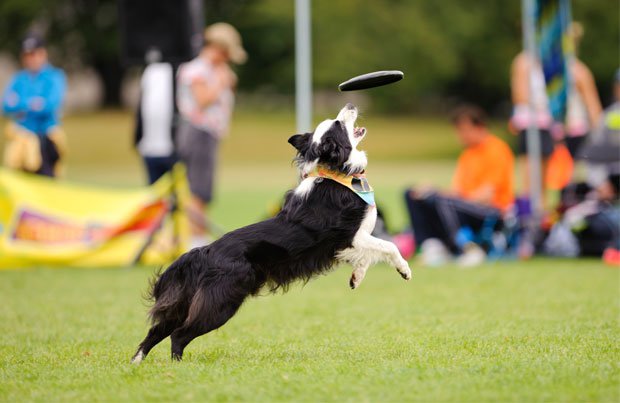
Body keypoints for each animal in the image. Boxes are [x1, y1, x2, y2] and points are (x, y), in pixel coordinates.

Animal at [131, 102, 412, 364]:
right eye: (339, 123)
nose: (351, 105)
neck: (339, 175)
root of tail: (204, 251)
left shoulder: (352, 243)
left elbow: (367, 257)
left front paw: (356, 278)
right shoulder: (350, 236)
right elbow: (389, 246)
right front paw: (404, 270)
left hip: (185, 301)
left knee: (157, 330)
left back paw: (136, 363)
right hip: (221, 302)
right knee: (179, 334)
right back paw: (177, 365)